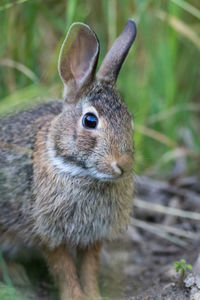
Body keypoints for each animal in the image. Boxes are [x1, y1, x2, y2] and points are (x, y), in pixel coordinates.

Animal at [0, 19, 137, 298]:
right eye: (90, 120)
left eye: (129, 119)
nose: (124, 165)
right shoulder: (49, 233)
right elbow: (64, 269)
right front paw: (75, 296)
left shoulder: (93, 236)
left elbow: (89, 268)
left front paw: (94, 295)